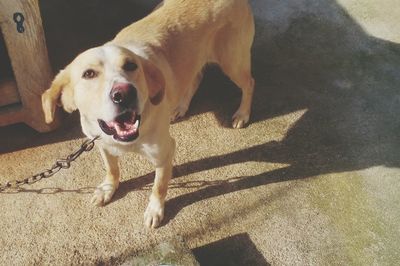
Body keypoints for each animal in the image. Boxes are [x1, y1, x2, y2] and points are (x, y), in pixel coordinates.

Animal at [42, 0, 255, 229]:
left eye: (131, 65)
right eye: (88, 74)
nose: (124, 93)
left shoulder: (164, 153)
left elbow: (158, 186)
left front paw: (155, 209)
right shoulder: (102, 144)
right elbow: (112, 169)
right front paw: (108, 188)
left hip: (232, 62)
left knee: (249, 83)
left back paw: (242, 114)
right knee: (195, 78)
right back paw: (180, 107)